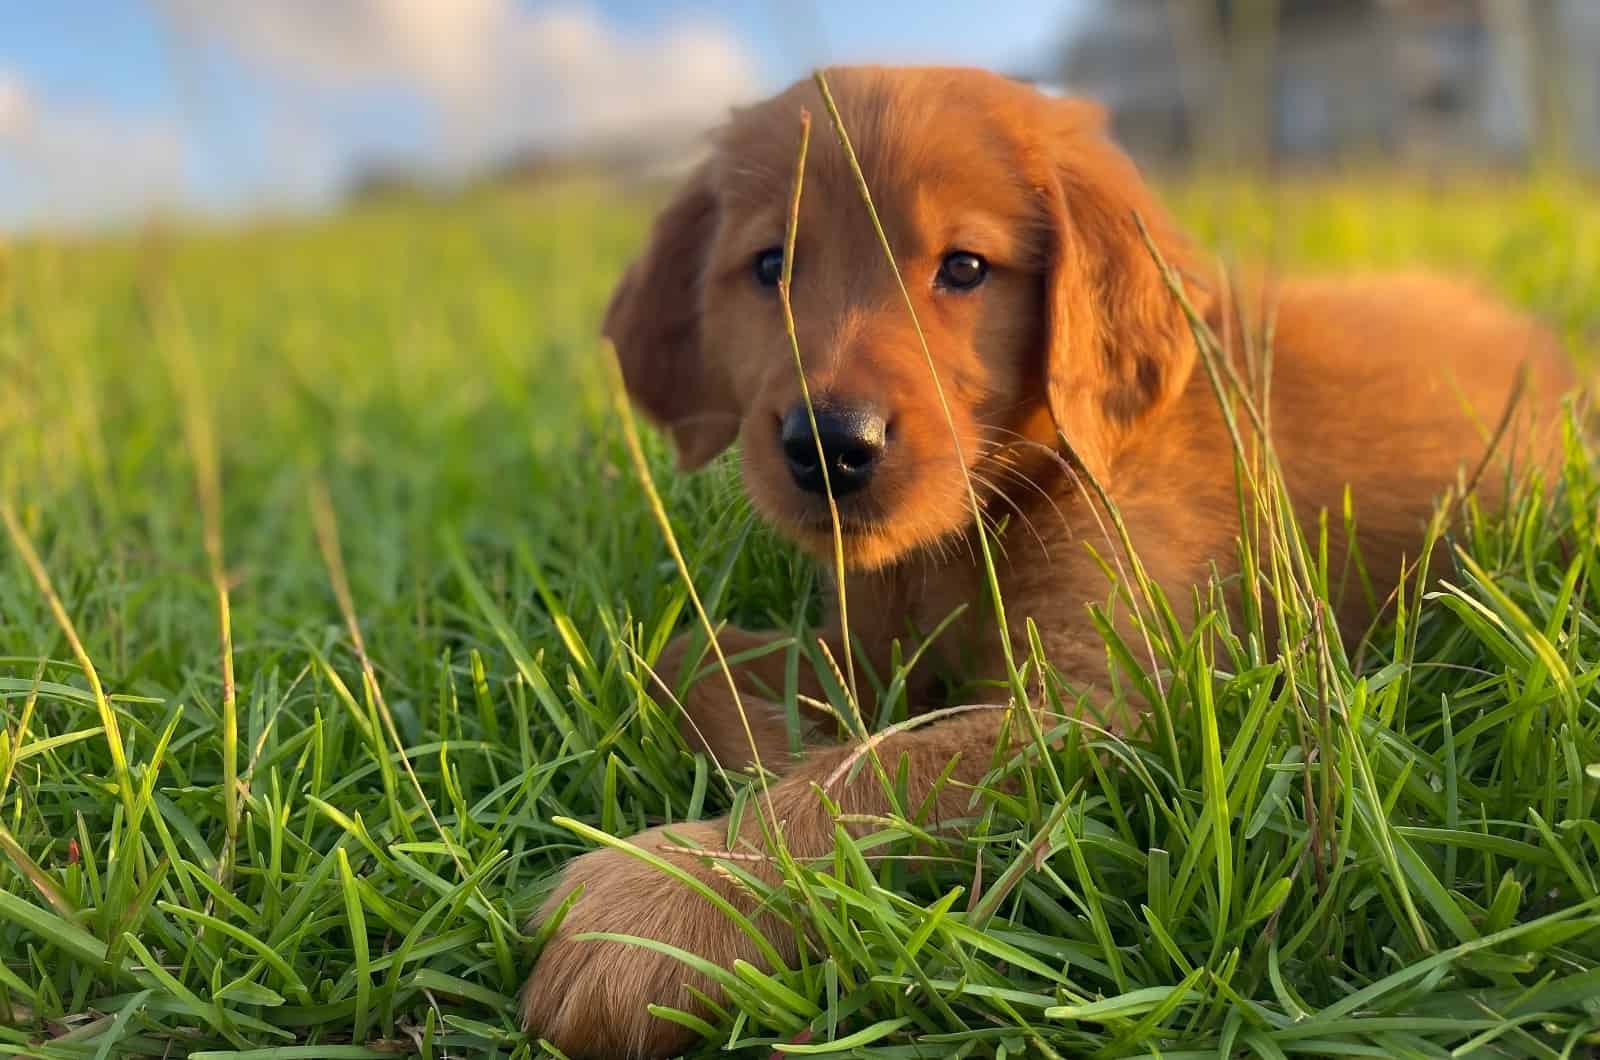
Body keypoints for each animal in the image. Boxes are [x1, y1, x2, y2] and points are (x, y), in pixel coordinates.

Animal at [518, 68, 1568, 1060]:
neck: (991, 510)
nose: (830, 444)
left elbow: (885, 772)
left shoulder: (1104, 709)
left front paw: (664, 906)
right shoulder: (870, 639)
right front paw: (781, 739)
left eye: (966, 268)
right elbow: (687, 657)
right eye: (768, 267)